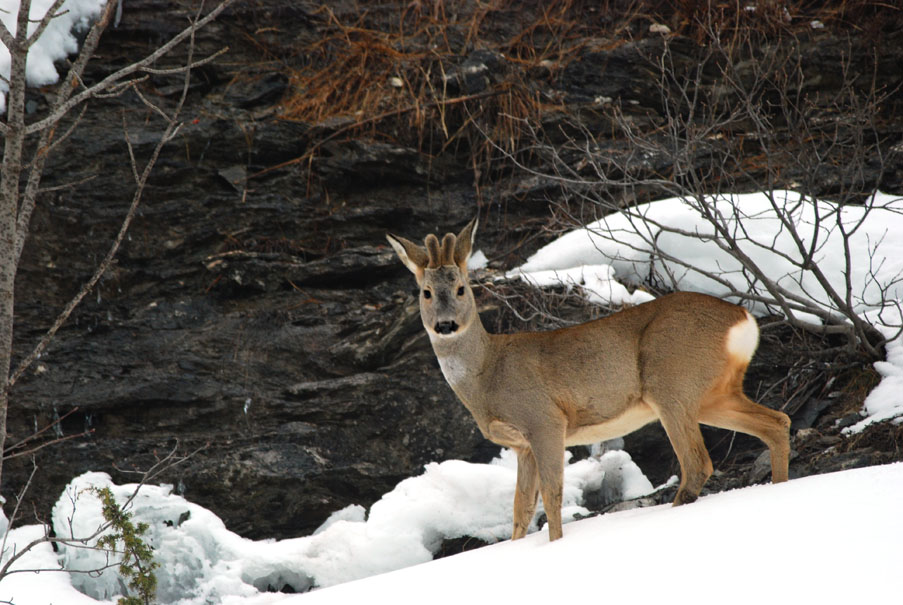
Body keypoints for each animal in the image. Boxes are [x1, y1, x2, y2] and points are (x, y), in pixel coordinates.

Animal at [388, 219, 792, 540]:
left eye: (461, 289)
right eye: (426, 292)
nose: (445, 325)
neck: (488, 372)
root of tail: (743, 318)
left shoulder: (545, 420)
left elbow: (551, 497)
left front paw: (555, 545)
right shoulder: (521, 445)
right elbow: (520, 511)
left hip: (671, 382)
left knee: (697, 463)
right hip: (712, 393)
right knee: (777, 422)